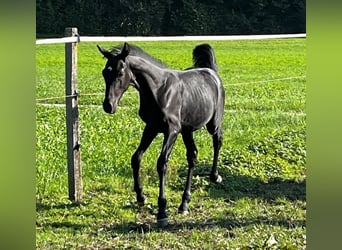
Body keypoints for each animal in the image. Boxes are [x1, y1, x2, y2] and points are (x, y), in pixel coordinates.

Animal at [97, 43, 224, 227]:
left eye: (120, 73)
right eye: (104, 72)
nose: (108, 106)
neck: (160, 90)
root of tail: (211, 71)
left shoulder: (172, 131)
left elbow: (162, 163)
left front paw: (162, 212)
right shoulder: (151, 127)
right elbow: (136, 157)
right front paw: (141, 197)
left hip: (212, 123)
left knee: (218, 139)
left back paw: (215, 176)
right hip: (187, 130)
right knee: (192, 156)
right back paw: (184, 203)